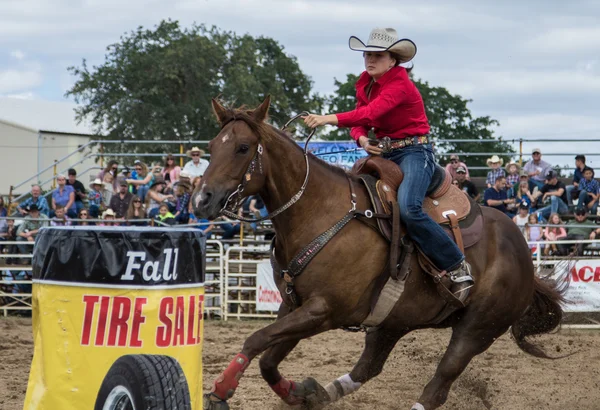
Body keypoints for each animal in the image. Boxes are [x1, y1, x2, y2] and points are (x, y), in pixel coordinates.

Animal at [193, 97, 568, 410]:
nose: (201, 199)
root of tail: (522, 253)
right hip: (393, 321)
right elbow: (268, 360)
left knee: (441, 381)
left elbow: (255, 340)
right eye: (211, 147)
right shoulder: (293, 305)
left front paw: (220, 391)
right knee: (368, 366)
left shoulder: (323, 310)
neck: (321, 211)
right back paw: (319, 392)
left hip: (479, 327)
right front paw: (298, 392)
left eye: (243, 148)